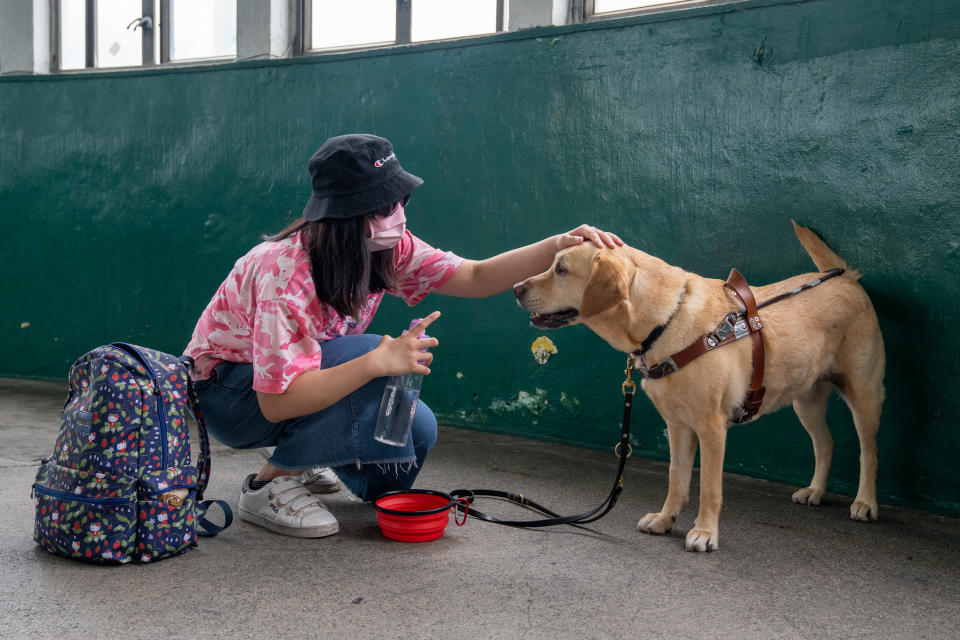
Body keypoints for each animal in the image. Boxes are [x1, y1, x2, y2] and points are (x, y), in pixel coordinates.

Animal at [516, 224, 884, 552]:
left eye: (561, 269)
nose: (517, 287)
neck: (665, 322)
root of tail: (846, 276)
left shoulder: (711, 427)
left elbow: (709, 486)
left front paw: (705, 533)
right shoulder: (677, 426)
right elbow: (676, 478)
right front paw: (665, 519)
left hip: (863, 394)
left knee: (869, 450)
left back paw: (865, 502)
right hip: (805, 400)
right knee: (826, 443)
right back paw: (815, 491)